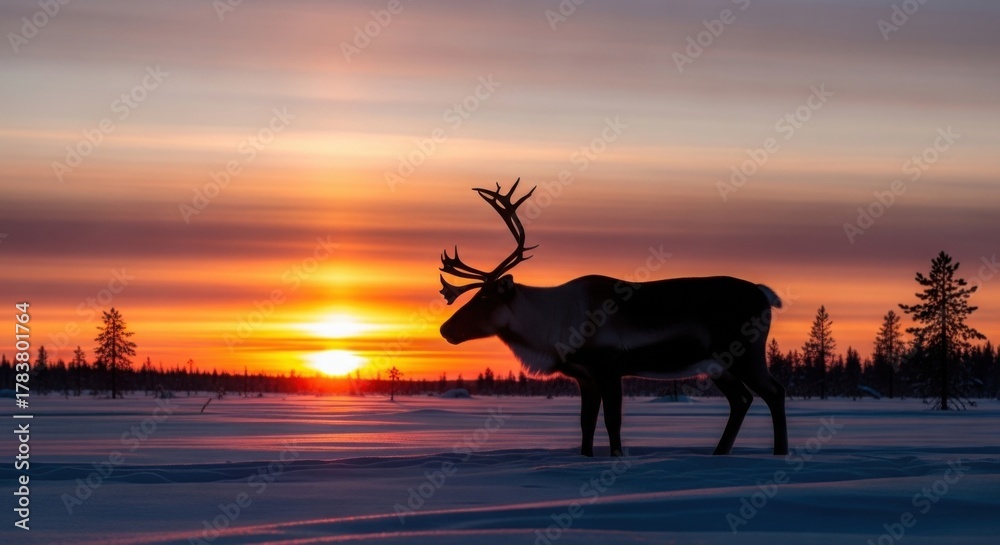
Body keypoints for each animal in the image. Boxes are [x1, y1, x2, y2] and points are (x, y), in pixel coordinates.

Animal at [438, 180, 788, 457]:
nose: (444, 329)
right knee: (741, 399)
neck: (552, 329)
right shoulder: (585, 375)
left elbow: (612, 422)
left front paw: (616, 458)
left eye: (485, 298)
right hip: (716, 364)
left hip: (745, 353)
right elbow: (586, 425)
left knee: (774, 391)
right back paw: (719, 454)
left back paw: (779, 453)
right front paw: (586, 457)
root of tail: (765, 295)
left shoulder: (609, 366)